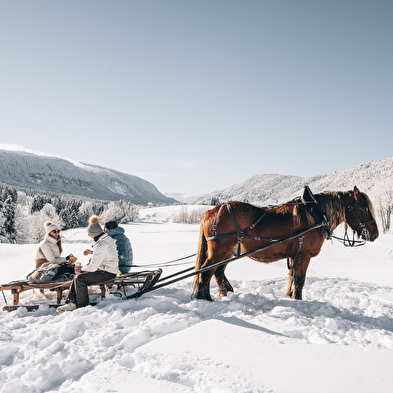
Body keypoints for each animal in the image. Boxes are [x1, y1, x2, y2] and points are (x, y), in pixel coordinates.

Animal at [191, 186, 378, 300]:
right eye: (363, 207)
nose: (375, 234)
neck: (316, 215)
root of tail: (212, 210)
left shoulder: (296, 256)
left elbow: (292, 277)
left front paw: (290, 296)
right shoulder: (304, 256)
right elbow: (300, 280)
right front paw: (298, 299)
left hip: (229, 251)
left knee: (218, 272)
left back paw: (226, 293)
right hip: (219, 250)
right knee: (205, 271)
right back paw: (204, 297)